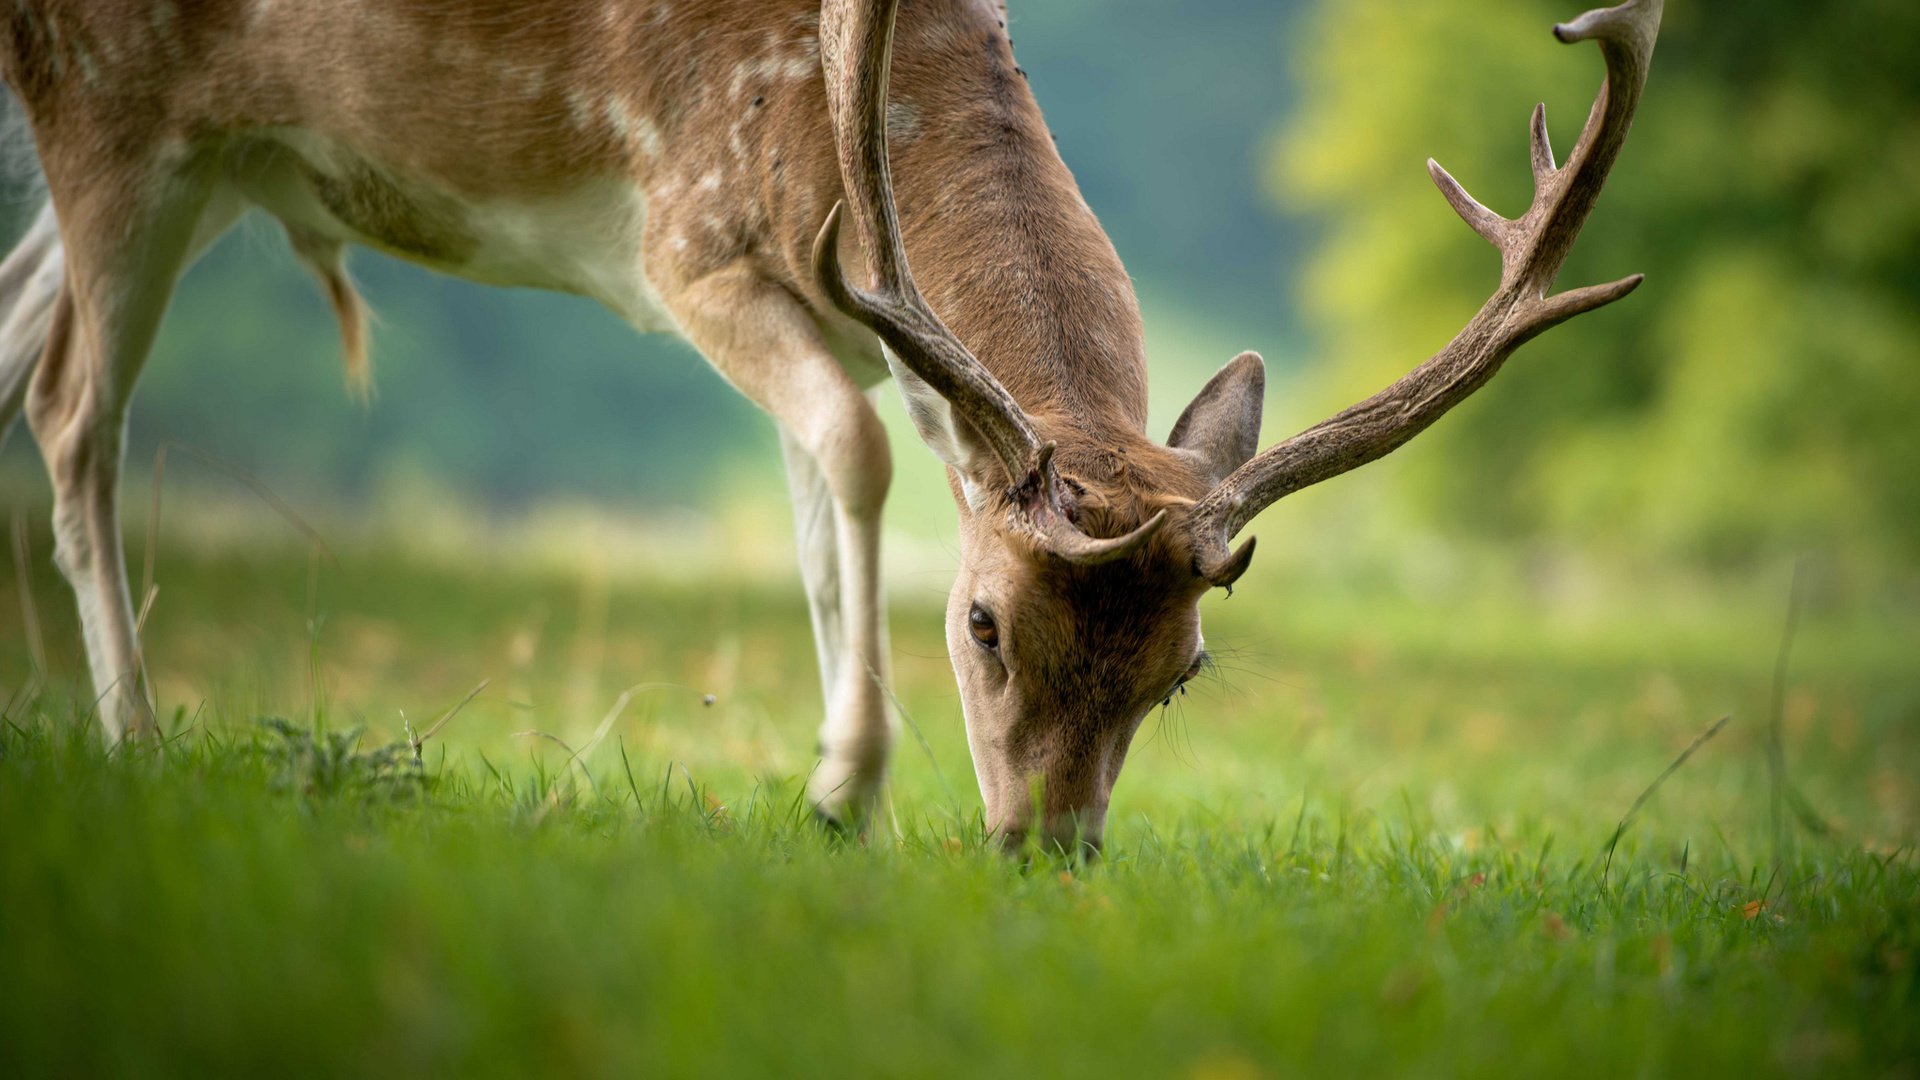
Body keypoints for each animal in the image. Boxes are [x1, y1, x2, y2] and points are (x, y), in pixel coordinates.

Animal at [0, 0, 1658, 841]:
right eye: (983, 625)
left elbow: (813, 513)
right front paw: (848, 787)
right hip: (114, 113)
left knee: (26, 343)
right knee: (77, 405)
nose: (1048, 850)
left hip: (204, 164)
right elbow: (848, 466)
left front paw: (827, 780)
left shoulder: (881, 350)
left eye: (1183, 673)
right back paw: (134, 730)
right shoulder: (687, 242)